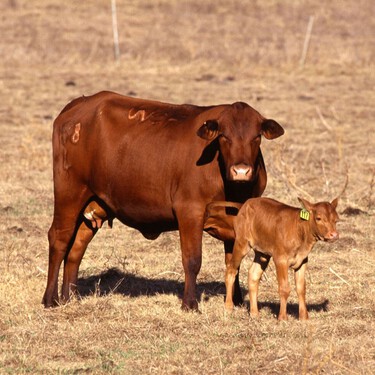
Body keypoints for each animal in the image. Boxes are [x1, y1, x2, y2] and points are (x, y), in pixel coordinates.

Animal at [42, 92, 284, 312]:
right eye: (224, 136)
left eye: (257, 136)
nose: (241, 171)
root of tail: (80, 103)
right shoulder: (189, 212)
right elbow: (192, 260)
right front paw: (190, 304)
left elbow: (233, 261)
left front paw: (236, 301)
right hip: (69, 194)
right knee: (59, 239)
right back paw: (50, 299)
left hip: (94, 204)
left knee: (76, 248)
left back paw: (70, 297)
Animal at [206, 197, 340, 320]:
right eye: (319, 218)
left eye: (336, 220)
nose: (334, 235)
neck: (299, 229)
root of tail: (246, 203)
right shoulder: (280, 259)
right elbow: (284, 288)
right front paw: (282, 318)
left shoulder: (302, 261)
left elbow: (301, 288)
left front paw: (304, 317)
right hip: (241, 243)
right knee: (231, 270)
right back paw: (229, 307)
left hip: (262, 253)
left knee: (253, 275)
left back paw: (254, 313)